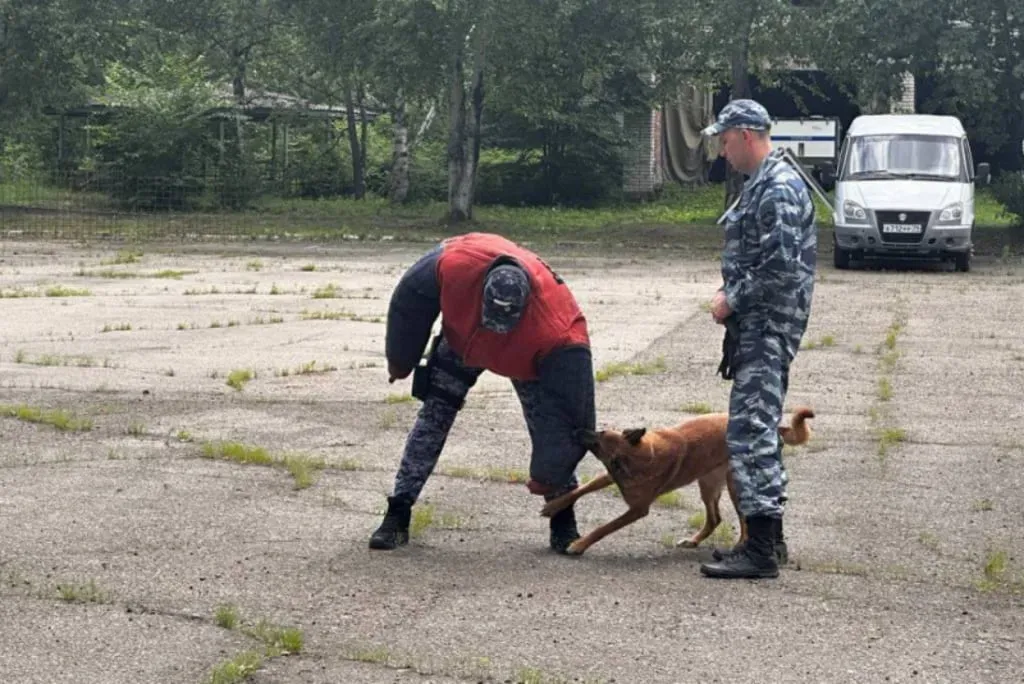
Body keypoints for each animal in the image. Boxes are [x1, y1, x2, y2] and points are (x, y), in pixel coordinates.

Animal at [536, 405, 815, 557]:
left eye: (598, 438)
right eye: (601, 431)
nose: (576, 430)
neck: (639, 457)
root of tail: (773, 428)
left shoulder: (637, 510)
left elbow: (604, 528)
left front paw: (579, 545)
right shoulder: (607, 476)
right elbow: (580, 490)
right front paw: (553, 506)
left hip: (735, 486)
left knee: (745, 519)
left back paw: (741, 545)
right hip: (708, 485)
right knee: (714, 519)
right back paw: (693, 541)